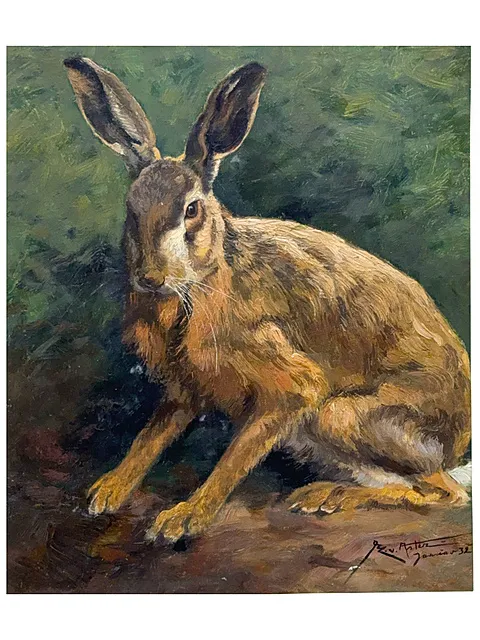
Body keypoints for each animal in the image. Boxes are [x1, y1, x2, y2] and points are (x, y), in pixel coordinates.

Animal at [65, 56, 471, 543]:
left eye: (191, 210)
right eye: (132, 210)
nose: (150, 277)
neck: (202, 282)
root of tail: (459, 443)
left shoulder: (290, 388)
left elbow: (234, 457)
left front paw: (184, 517)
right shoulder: (186, 389)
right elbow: (152, 436)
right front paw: (106, 491)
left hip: (340, 416)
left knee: (445, 492)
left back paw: (329, 497)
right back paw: (321, 494)